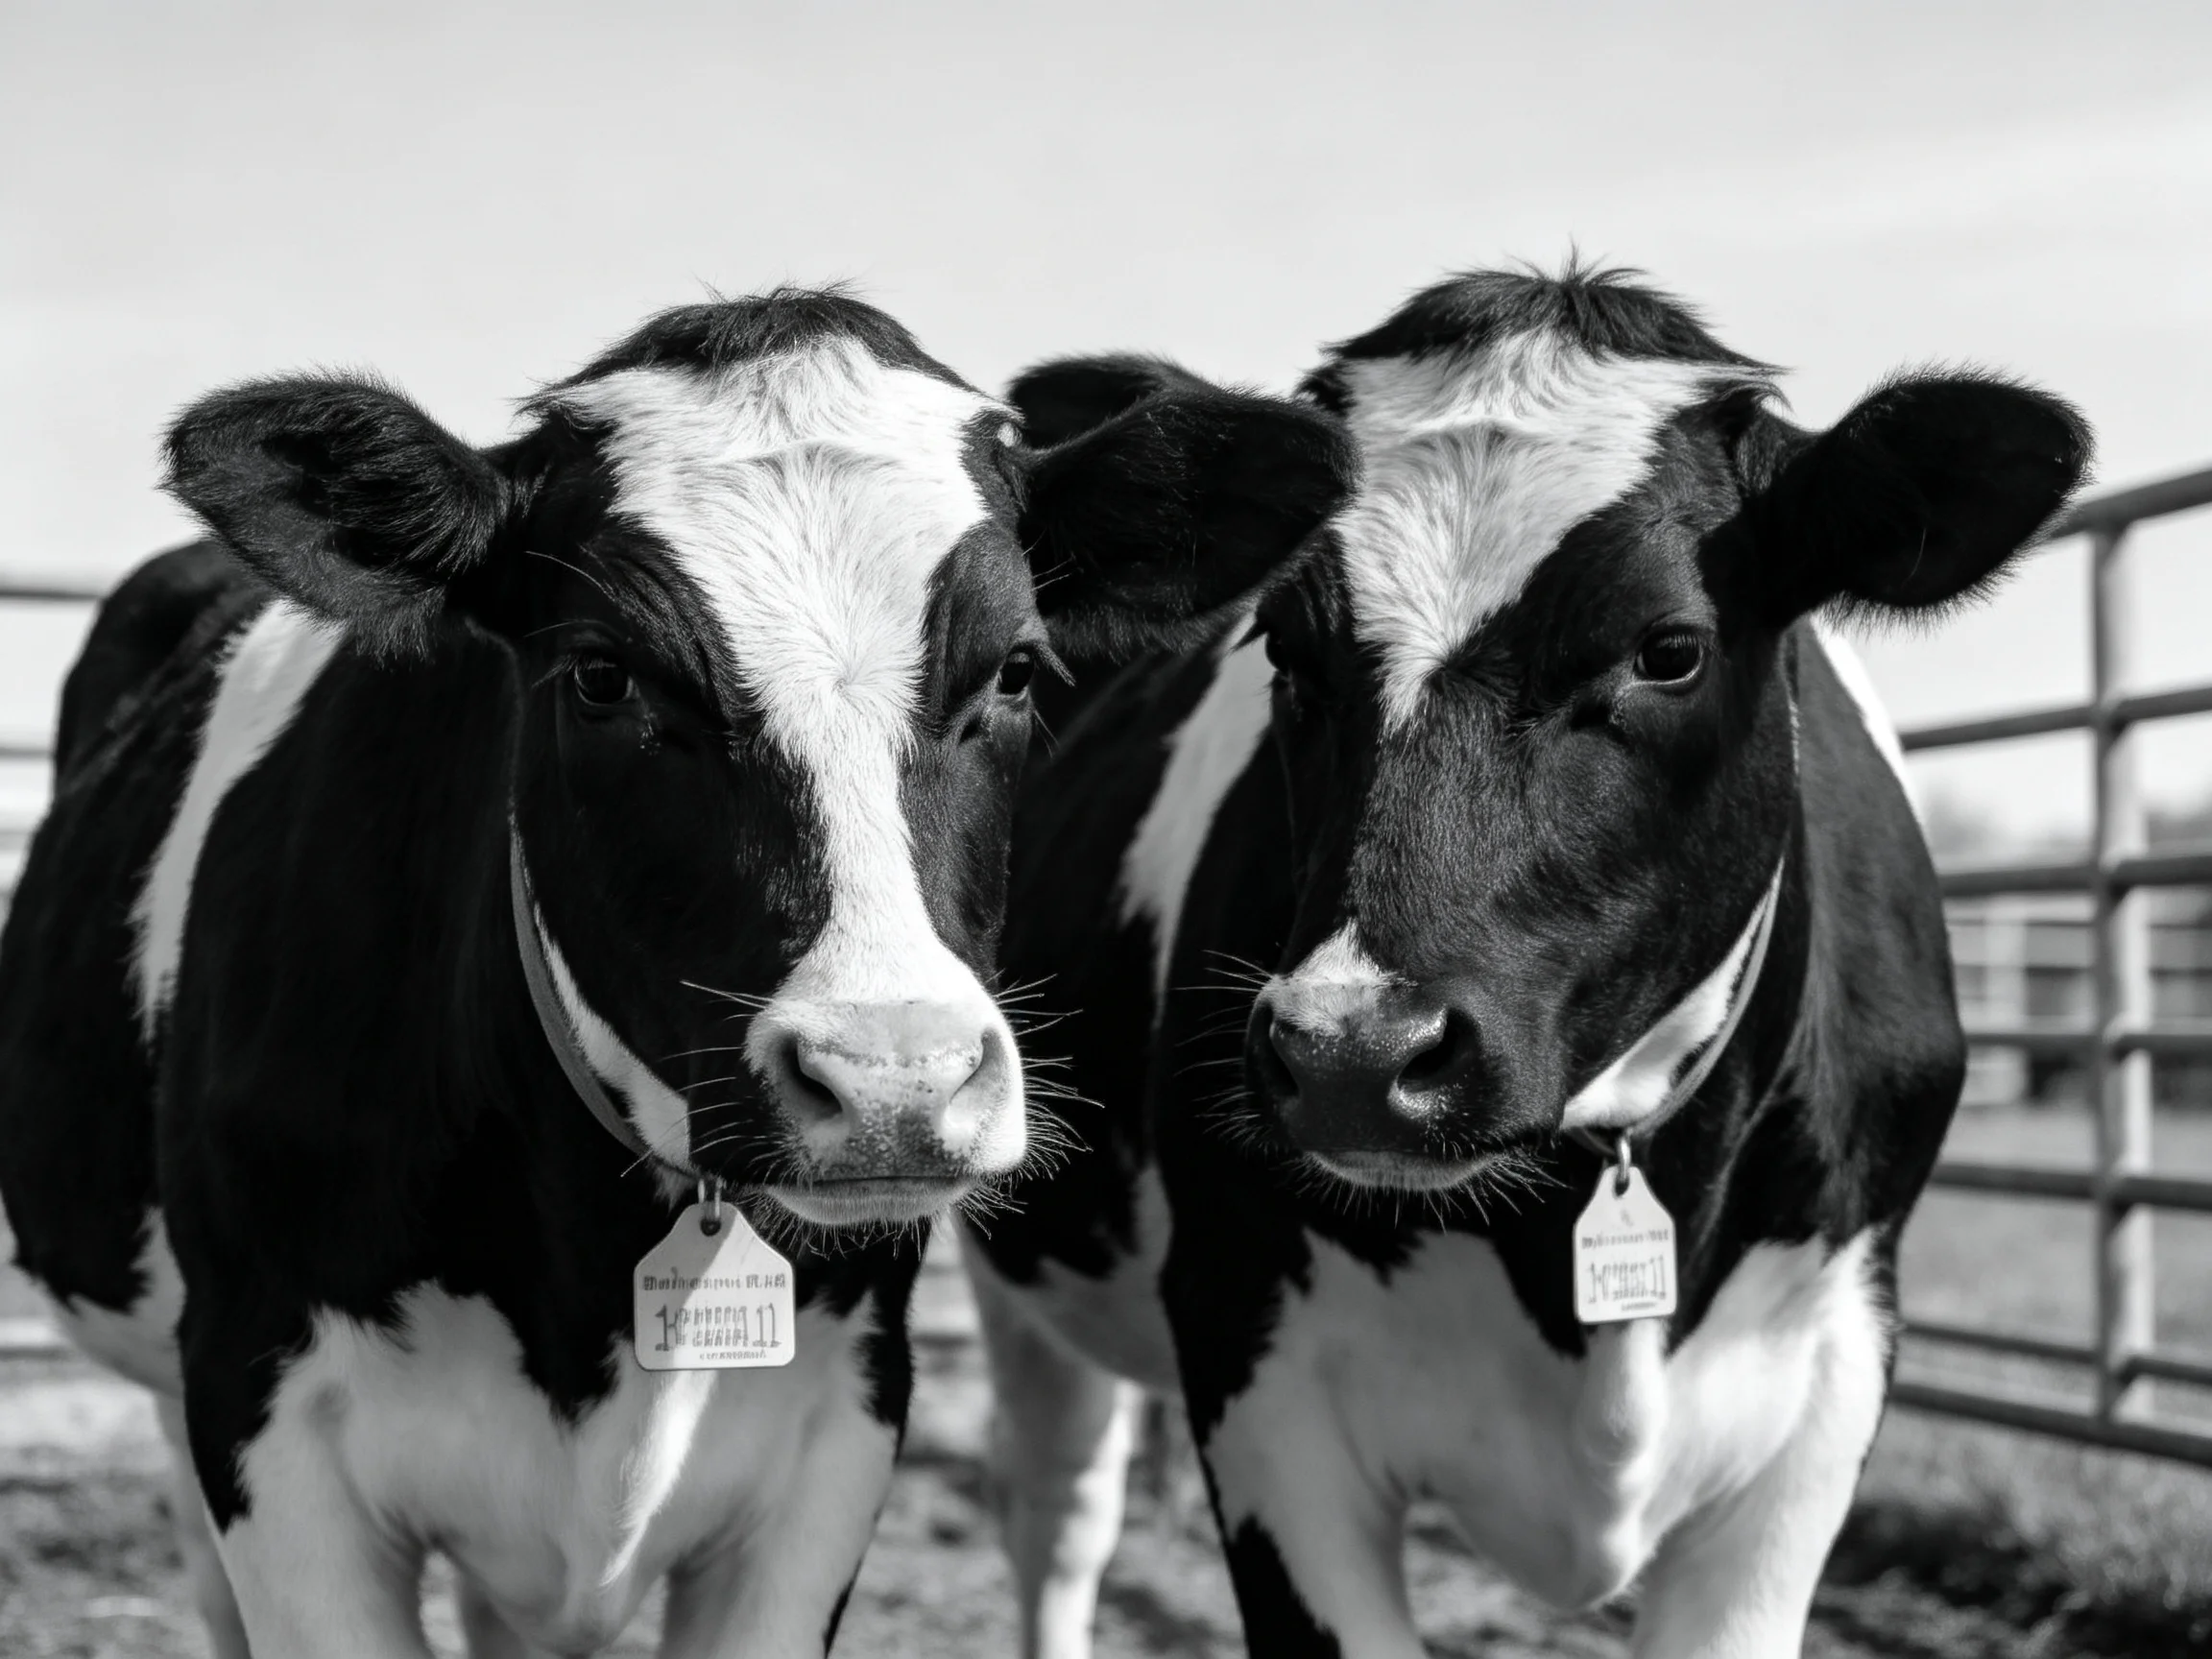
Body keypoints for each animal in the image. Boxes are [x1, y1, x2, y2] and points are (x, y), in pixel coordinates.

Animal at [0, 289, 1356, 1658]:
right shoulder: (268, 1434)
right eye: (603, 675)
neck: (584, 1276)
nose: (895, 1084)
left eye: (1017, 669)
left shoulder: (837, 1435)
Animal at [961, 265, 2089, 1659]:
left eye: (1669, 649)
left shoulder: (1828, 1374)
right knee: (1059, 1509)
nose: (1351, 1056)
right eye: (1285, 648)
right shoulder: (1261, 1368)